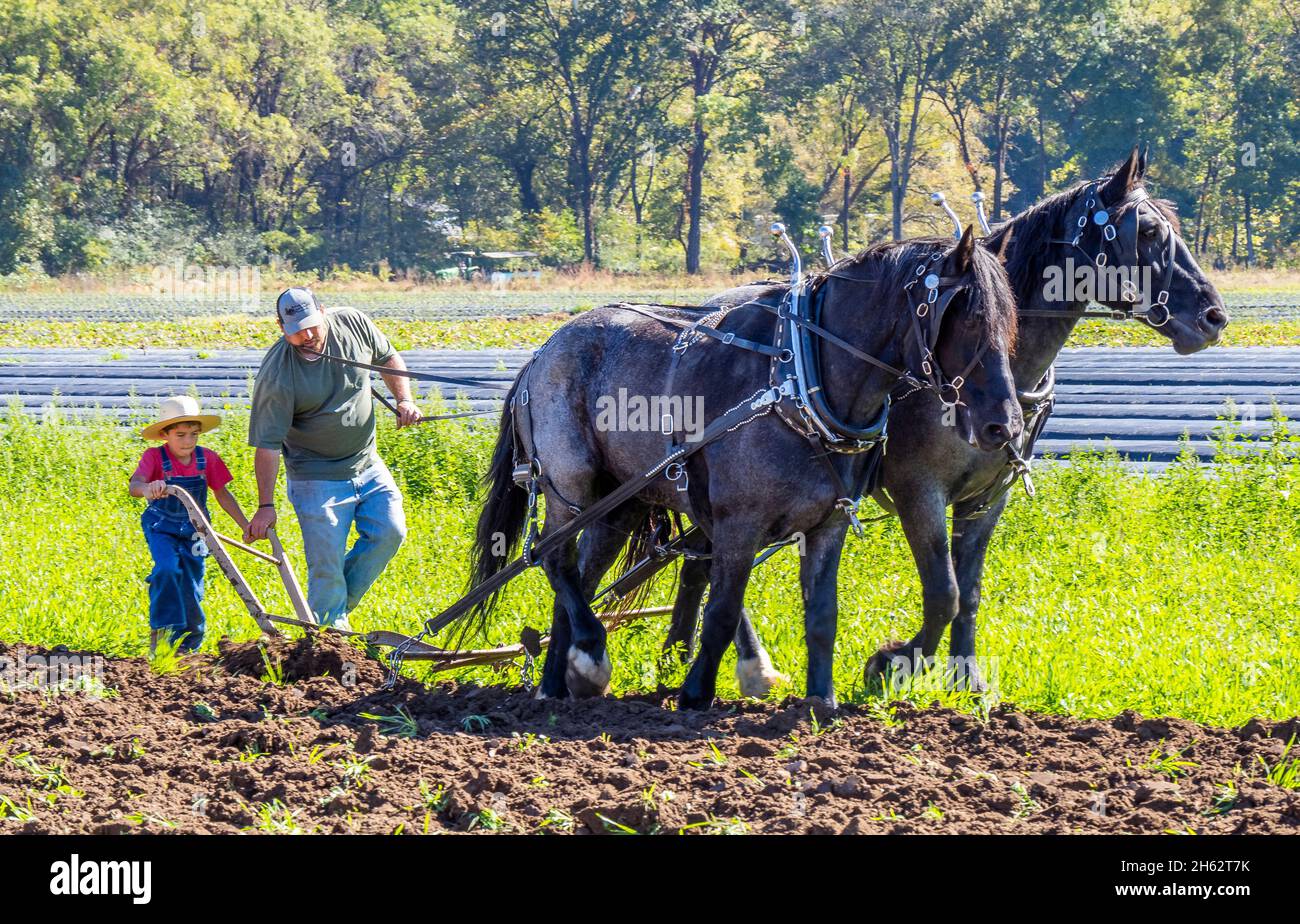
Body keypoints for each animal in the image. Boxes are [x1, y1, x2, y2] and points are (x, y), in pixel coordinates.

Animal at [467, 223, 1024, 706]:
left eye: (1011, 323)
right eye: (970, 318)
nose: (1006, 425)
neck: (800, 380)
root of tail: (542, 351)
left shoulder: (828, 524)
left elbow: (822, 615)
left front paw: (821, 700)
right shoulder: (741, 520)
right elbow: (722, 606)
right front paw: (697, 692)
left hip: (619, 503)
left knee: (579, 576)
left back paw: (559, 680)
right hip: (569, 481)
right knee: (552, 557)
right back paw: (591, 654)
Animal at [655, 148, 1232, 696]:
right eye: (1149, 231)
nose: (1214, 317)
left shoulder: (987, 499)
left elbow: (970, 592)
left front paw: (967, 678)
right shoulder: (919, 491)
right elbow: (943, 592)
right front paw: (893, 664)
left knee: (701, 560)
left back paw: (676, 656)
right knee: (719, 560)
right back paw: (752, 668)